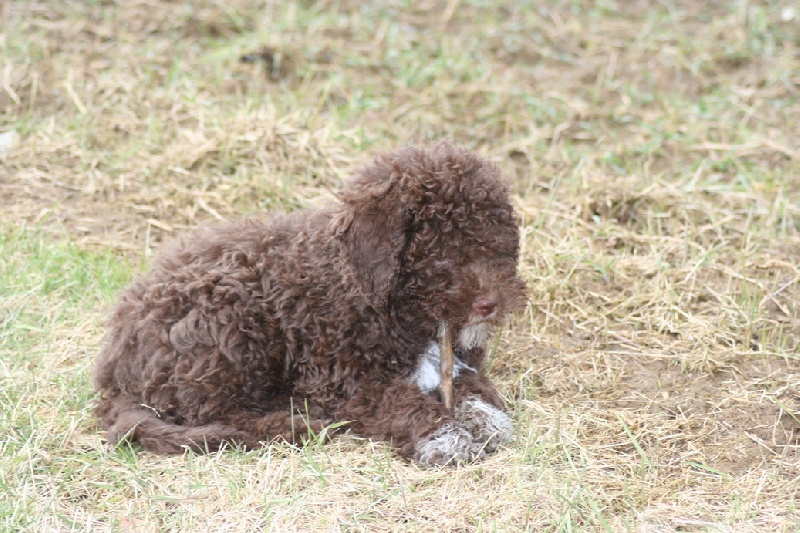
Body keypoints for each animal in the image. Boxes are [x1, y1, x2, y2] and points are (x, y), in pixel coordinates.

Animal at [94, 142, 524, 466]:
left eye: (499, 245)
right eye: (441, 252)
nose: (490, 303)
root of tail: (114, 370)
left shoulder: (458, 361)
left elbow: (471, 386)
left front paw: (484, 417)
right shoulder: (346, 384)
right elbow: (400, 401)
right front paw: (443, 434)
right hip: (229, 321)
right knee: (222, 417)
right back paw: (298, 424)